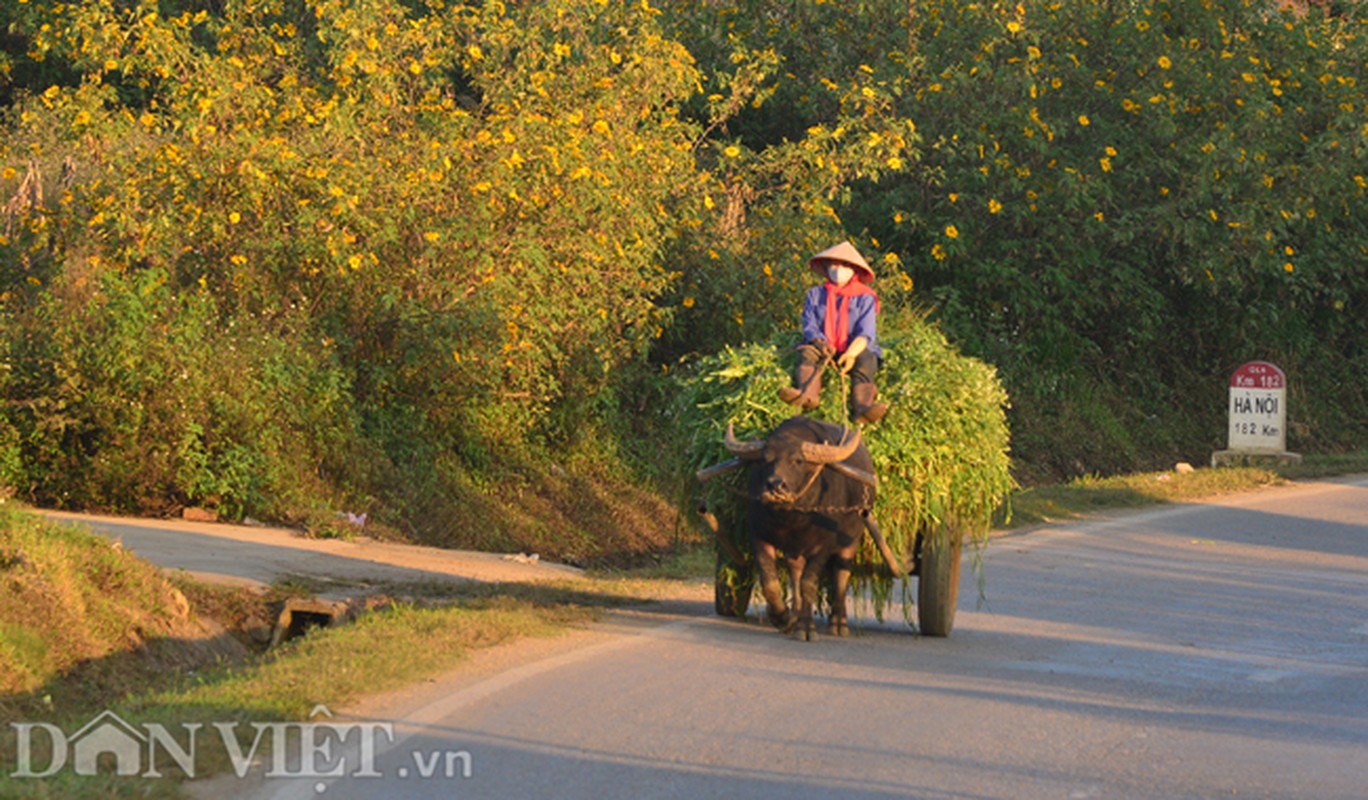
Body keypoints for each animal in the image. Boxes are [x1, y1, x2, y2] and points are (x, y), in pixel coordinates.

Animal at [700, 415, 902, 640]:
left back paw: (838, 624)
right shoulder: (759, 537)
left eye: (798, 460)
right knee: (796, 574)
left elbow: (809, 584)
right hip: (795, 551)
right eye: (765, 460)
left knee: (841, 576)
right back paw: (796, 618)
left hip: (852, 539)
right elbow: (771, 583)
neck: (792, 518)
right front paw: (783, 618)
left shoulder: (824, 546)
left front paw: (807, 629)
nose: (775, 486)